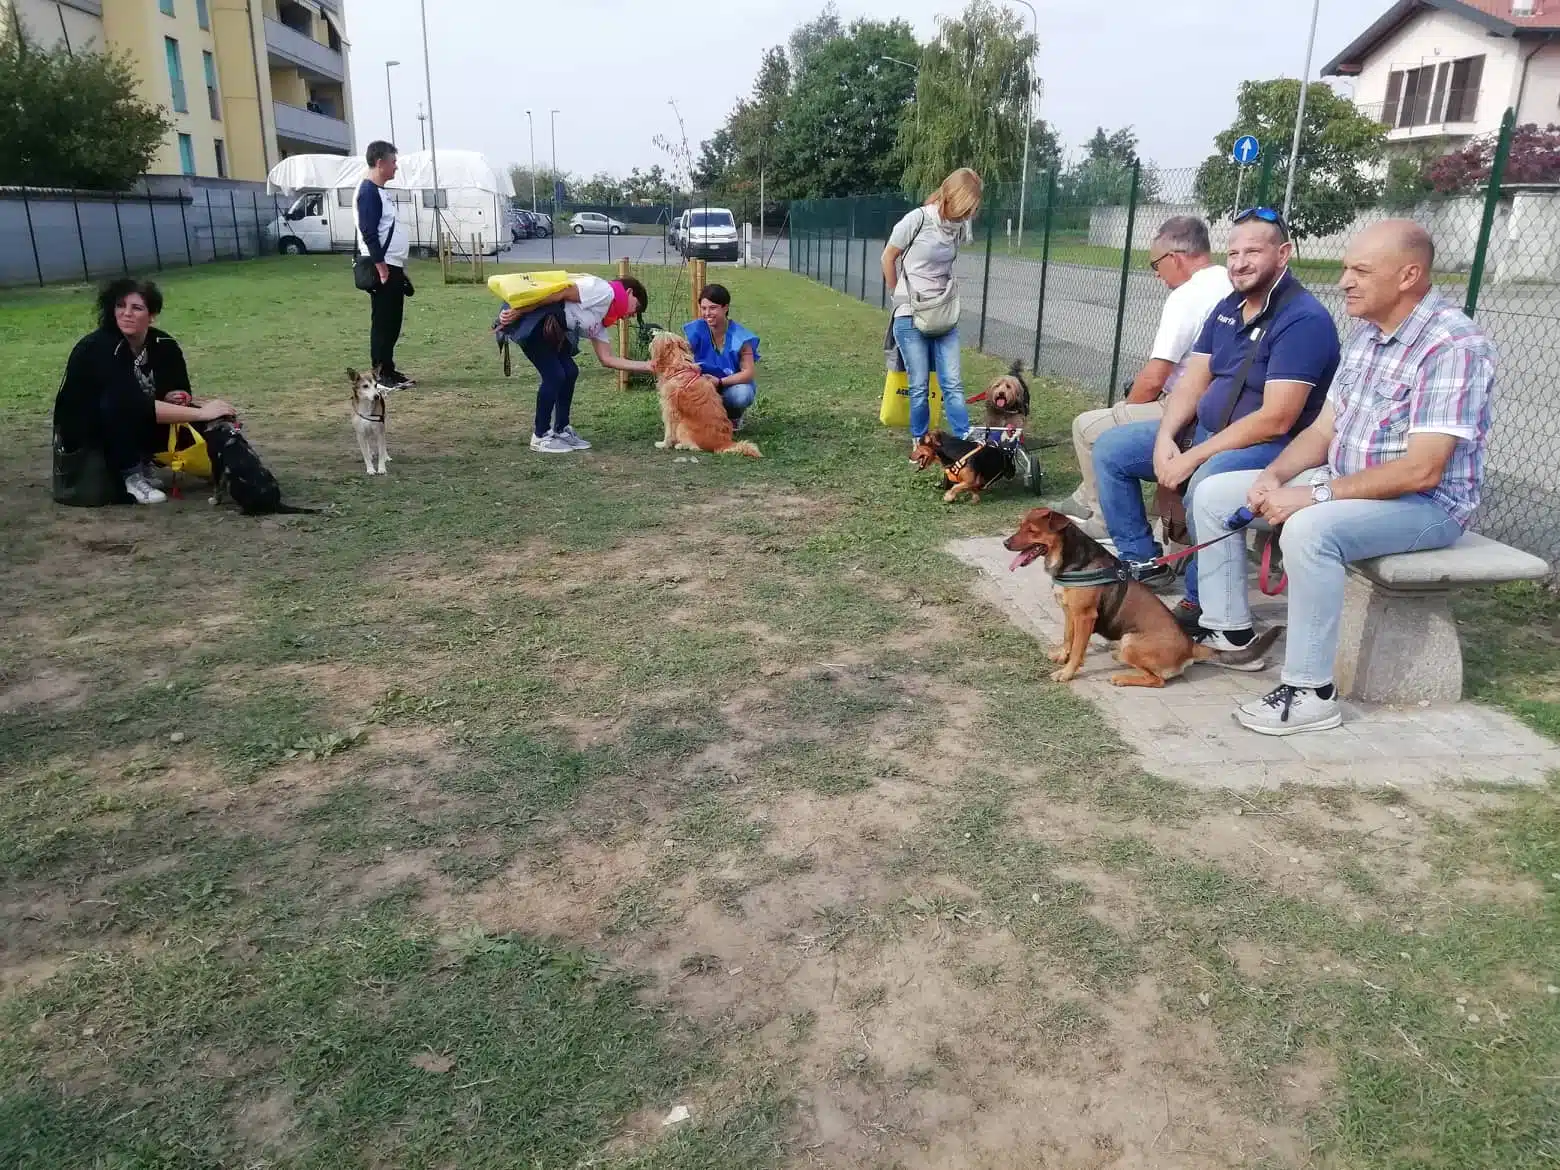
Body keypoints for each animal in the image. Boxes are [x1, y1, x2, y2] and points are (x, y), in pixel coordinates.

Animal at [1003, 507, 1277, 686]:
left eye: (1032, 531)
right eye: (1020, 526)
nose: (1005, 543)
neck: (1072, 561)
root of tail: (1191, 646)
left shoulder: (1085, 617)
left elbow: (1079, 648)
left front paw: (1068, 672)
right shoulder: (1070, 612)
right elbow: (1068, 638)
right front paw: (1062, 656)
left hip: (1131, 643)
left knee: (1157, 681)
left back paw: (1122, 678)